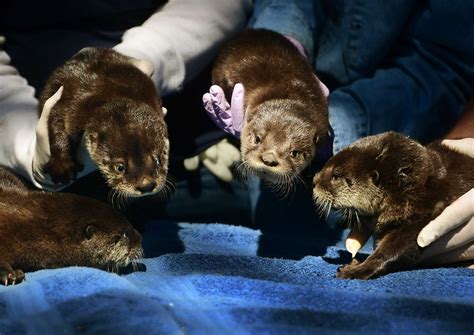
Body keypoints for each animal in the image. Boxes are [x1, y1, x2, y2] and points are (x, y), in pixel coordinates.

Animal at [39, 48, 169, 198]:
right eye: (120, 167)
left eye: (158, 160)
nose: (146, 186)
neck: (112, 95)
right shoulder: (69, 102)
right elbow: (55, 120)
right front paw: (62, 168)